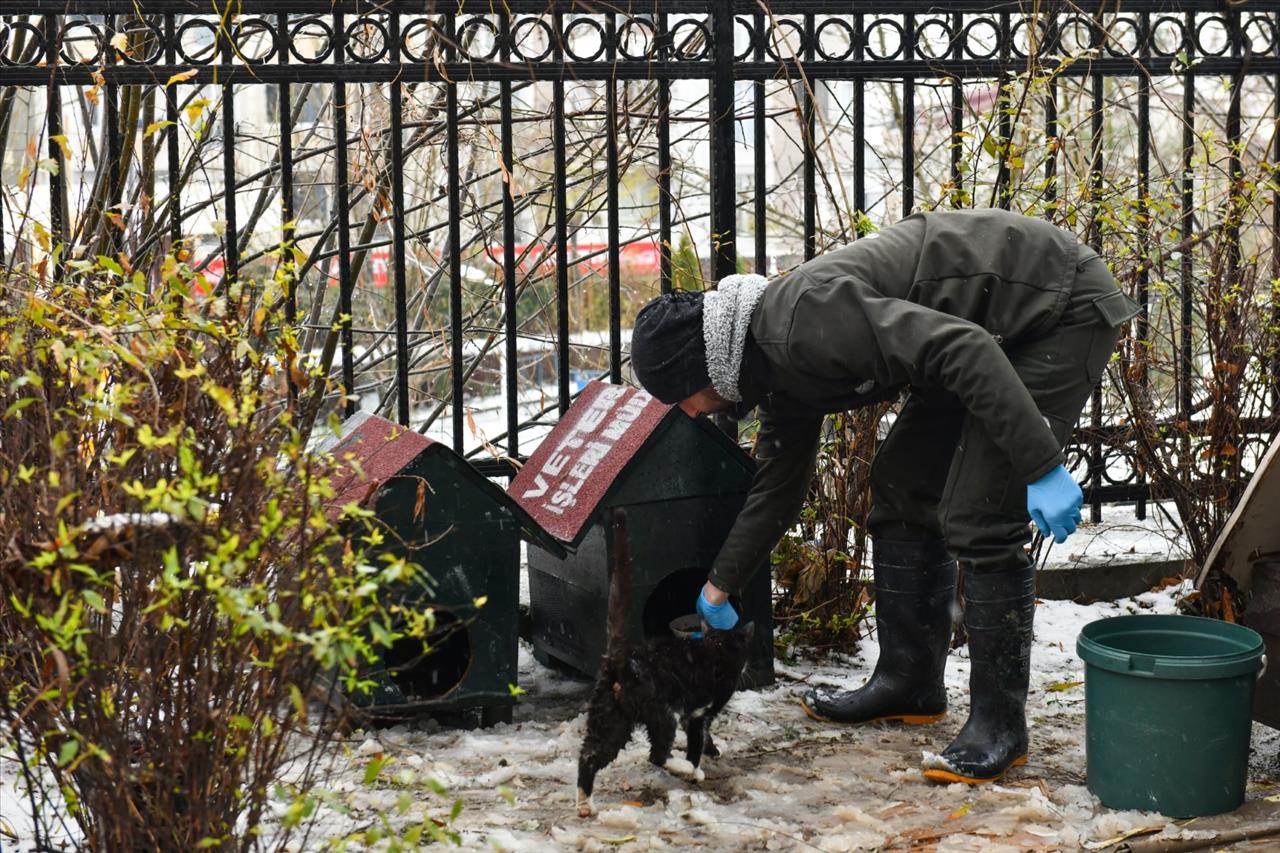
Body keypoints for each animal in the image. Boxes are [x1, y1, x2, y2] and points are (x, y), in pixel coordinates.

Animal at [576, 507, 752, 814]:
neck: (714, 647)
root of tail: (620, 663)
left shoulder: (695, 714)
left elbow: (701, 738)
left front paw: (709, 752)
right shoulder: (699, 711)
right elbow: (696, 741)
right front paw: (697, 766)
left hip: (610, 719)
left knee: (589, 755)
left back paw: (585, 803)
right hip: (660, 712)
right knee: (657, 754)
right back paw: (684, 769)